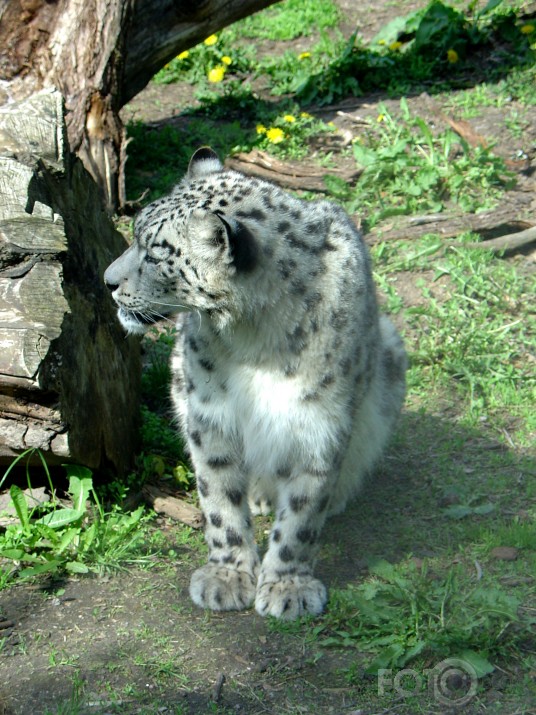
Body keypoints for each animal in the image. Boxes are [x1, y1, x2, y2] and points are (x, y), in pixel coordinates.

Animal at [103, 147, 406, 620]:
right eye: (135, 236)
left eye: (154, 252)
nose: (108, 281)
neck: (257, 340)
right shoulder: (209, 412)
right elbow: (218, 497)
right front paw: (226, 576)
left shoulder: (321, 420)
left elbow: (303, 511)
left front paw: (287, 586)